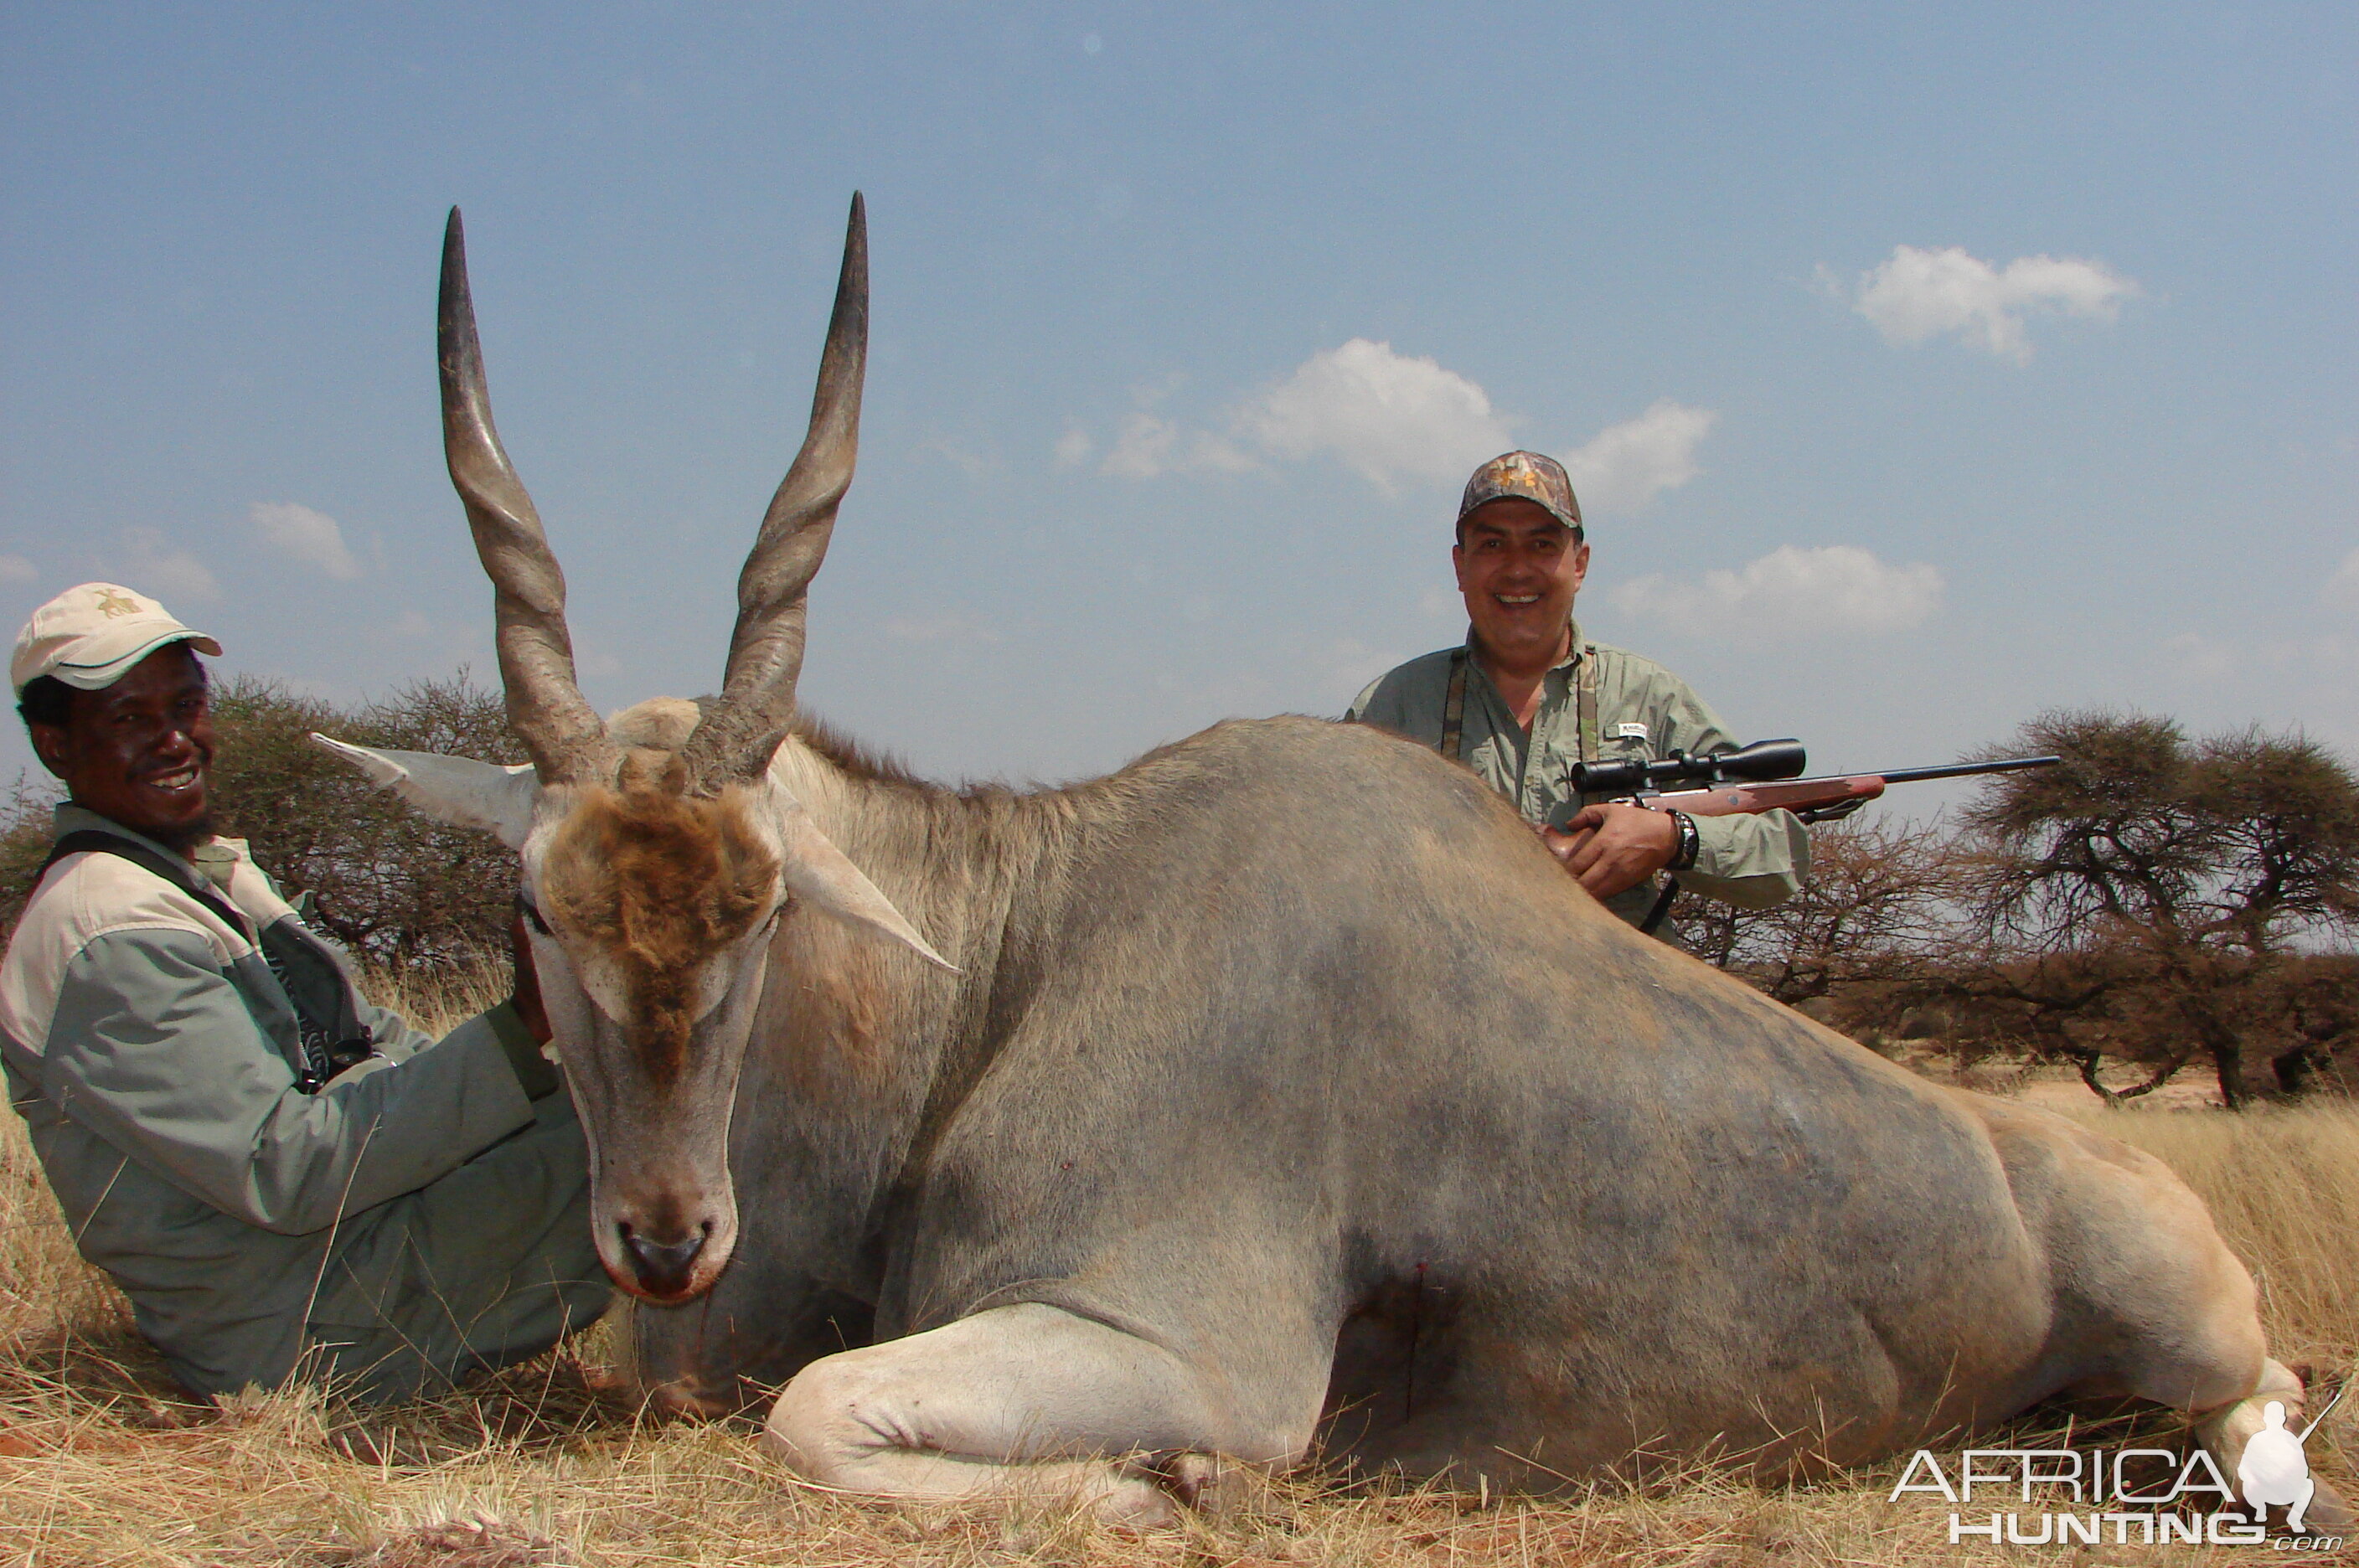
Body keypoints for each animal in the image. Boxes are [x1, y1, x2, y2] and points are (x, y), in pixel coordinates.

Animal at [313, 199, 2340, 1528]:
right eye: (538, 911)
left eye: (764, 904)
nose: (665, 1241)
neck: (1023, 948)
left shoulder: (1174, 1341)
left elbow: (817, 1418)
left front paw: (1166, 1488)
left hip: (2198, 1336)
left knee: (2267, 1397)